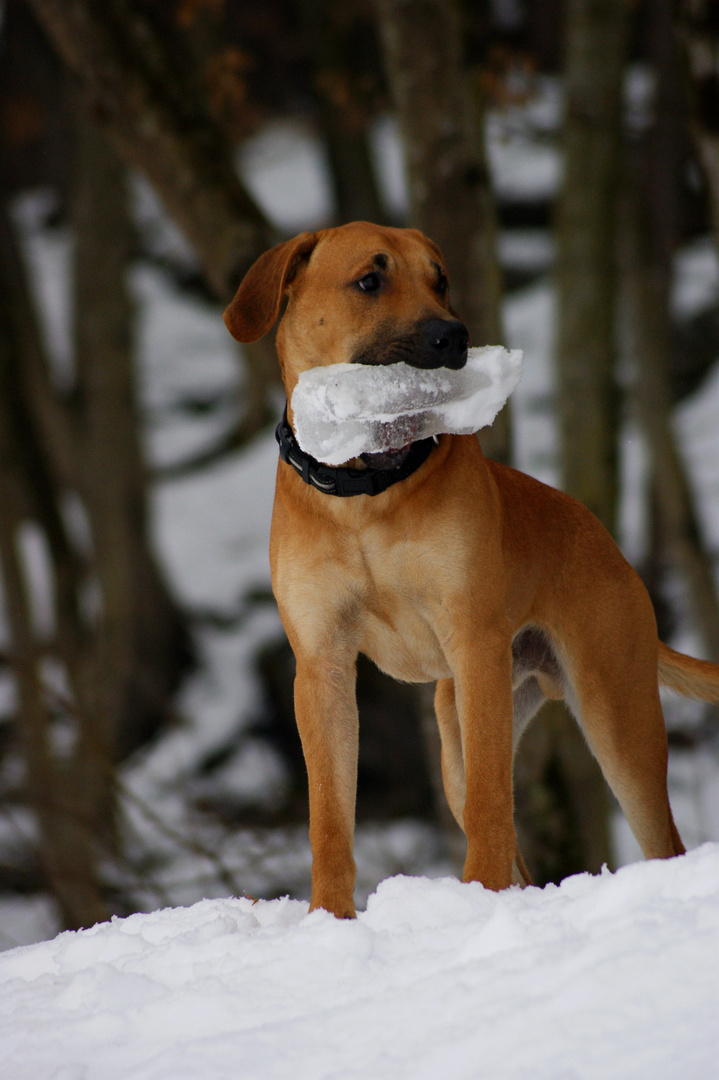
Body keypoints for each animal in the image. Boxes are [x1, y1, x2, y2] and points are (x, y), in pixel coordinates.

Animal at [224, 223, 716, 915]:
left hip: (615, 712)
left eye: (441, 281)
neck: (367, 492)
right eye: (370, 280)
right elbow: (330, 820)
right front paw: (330, 918)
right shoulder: (322, 666)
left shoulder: (474, 640)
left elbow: (491, 804)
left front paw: (478, 890)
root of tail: (608, 543)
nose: (452, 336)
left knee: (643, 832)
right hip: (458, 727)